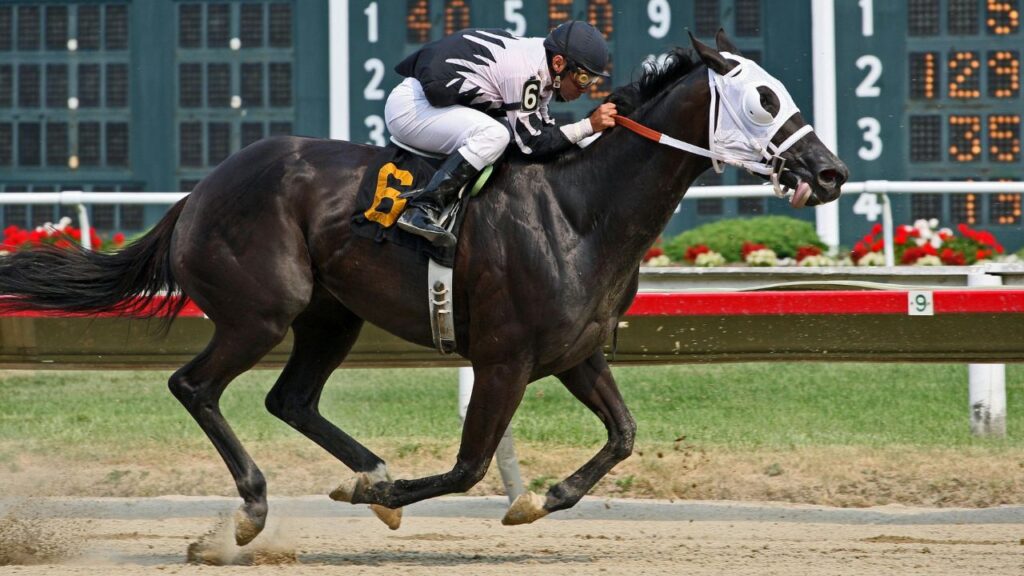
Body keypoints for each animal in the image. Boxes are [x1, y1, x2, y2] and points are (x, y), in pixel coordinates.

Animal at [0, 31, 847, 545]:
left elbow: (624, 435)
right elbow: (469, 467)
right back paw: (252, 509)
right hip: (259, 312)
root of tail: (199, 191)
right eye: (766, 98)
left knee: (290, 398)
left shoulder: (575, 354)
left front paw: (541, 497)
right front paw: (393, 498)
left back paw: (365, 470)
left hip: (330, 316)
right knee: (195, 386)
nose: (831, 170)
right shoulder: (504, 358)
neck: (580, 208)